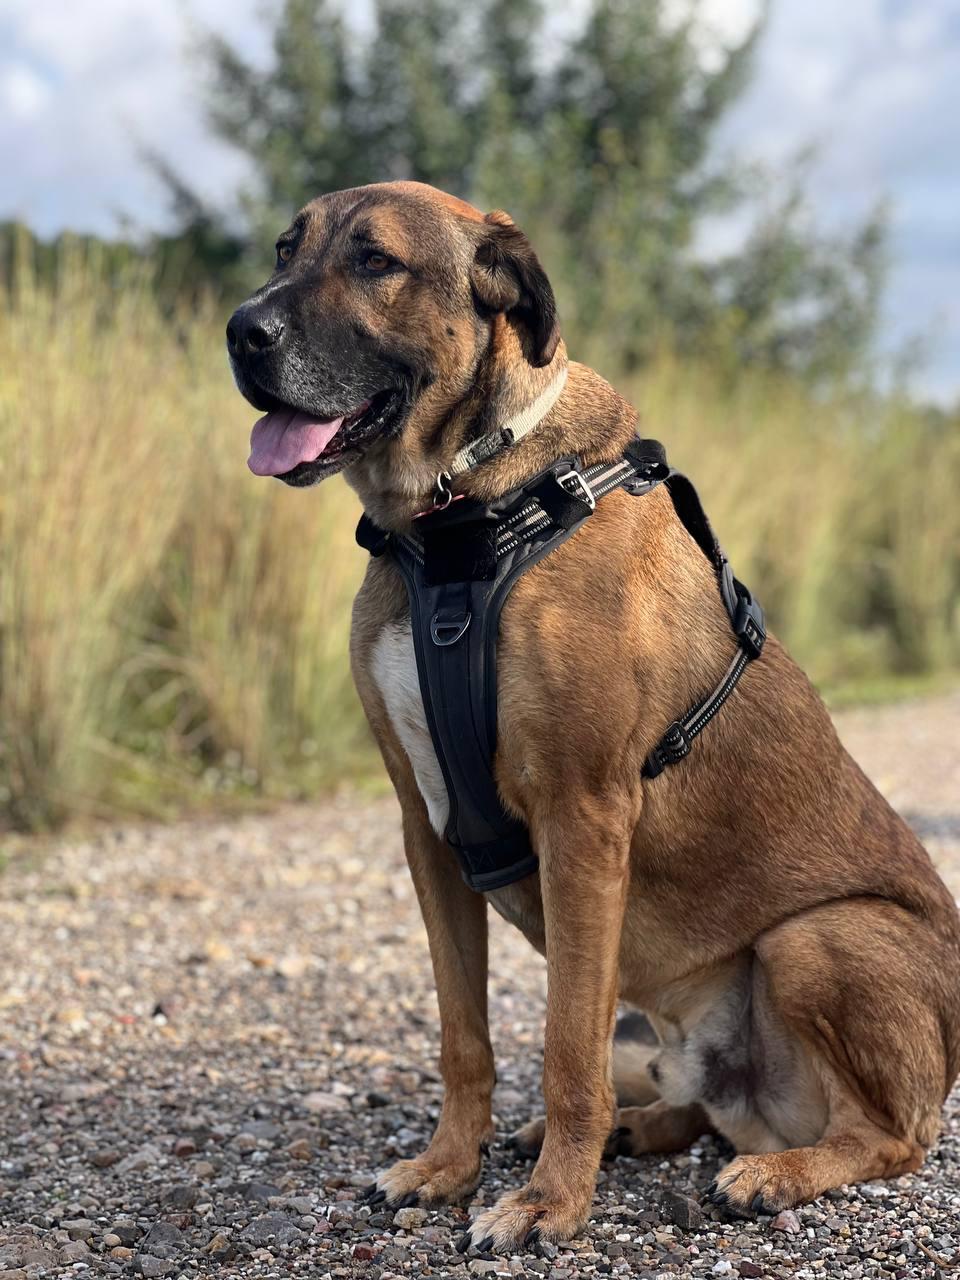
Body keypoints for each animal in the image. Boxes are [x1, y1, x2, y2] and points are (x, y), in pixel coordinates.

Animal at [227, 180, 960, 1252]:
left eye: (376, 262)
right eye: (287, 248)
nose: (241, 331)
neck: (457, 526)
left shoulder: (581, 820)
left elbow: (564, 1049)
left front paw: (548, 1203)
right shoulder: (426, 831)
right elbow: (465, 1039)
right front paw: (449, 1168)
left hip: (820, 940)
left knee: (889, 1137)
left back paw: (771, 1173)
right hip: (671, 1027)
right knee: (688, 1110)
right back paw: (640, 1129)